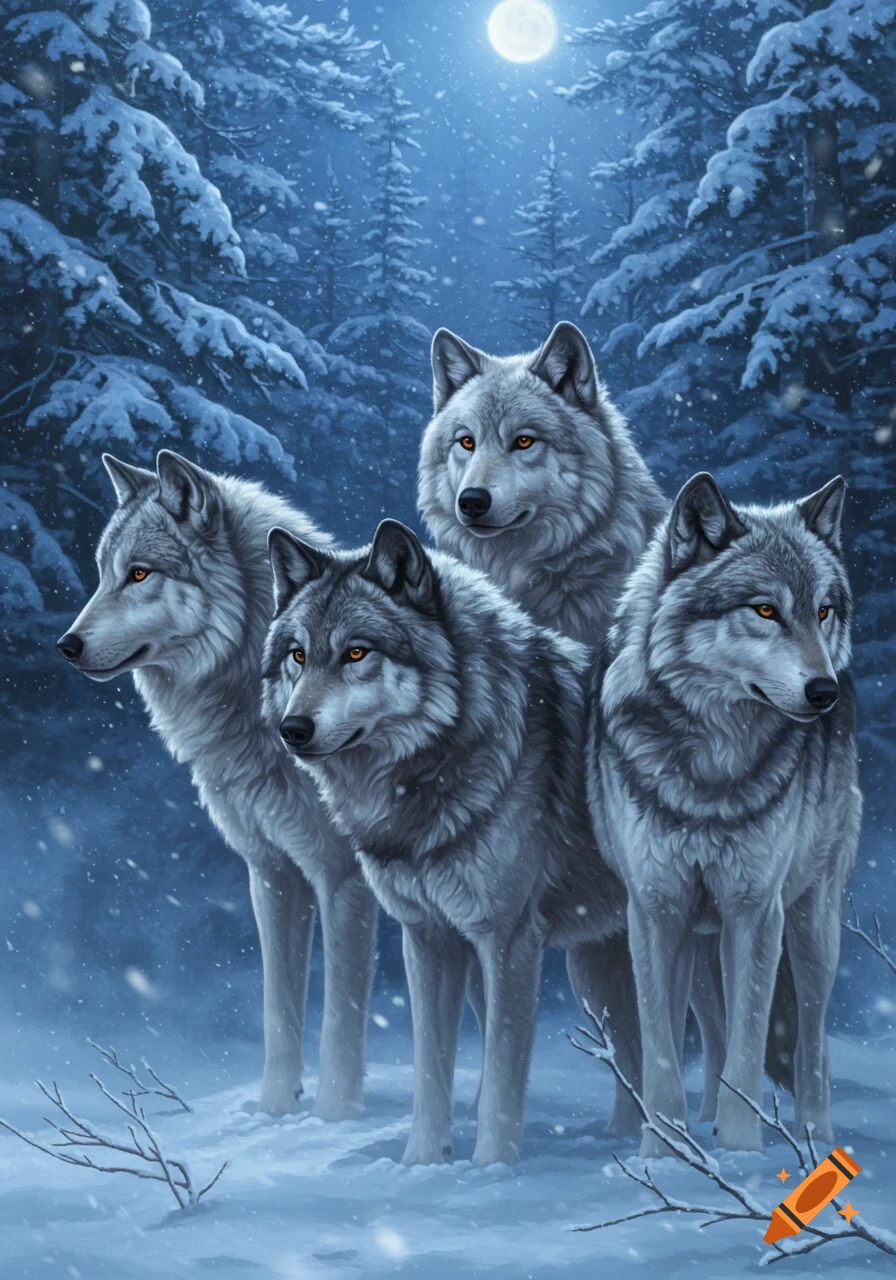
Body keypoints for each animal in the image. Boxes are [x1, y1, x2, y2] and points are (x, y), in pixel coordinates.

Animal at [56, 451, 378, 1121]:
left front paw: (333, 1120)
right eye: (101, 574)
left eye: (139, 574)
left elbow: (341, 1021)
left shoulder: (344, 879)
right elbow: (278, 1012)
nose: (66, 645)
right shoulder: (272, 871)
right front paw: (275, 1113)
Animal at [261, 519, 639, 1167]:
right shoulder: (428, 937)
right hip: (597, 971)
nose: (292, 730)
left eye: (357, 652)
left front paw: (490, 1173)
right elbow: (431, 1069)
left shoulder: (509, 941)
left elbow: (502, 1076)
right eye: (298, 655)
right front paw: (422, 1165)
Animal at [589, 472, 861, 1155]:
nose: (824, 692)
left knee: (813, 1042)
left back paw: (814, 1137)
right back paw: (706, 1120)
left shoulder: (755, 910)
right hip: (701, 935)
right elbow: (663, 1048)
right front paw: (666, 1150)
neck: (712, 766)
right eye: (765, 610)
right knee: (710, 1028)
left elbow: (750, 1040)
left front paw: (740, 1154)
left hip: (812, 927)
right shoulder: (655, 911)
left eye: (823, 610)